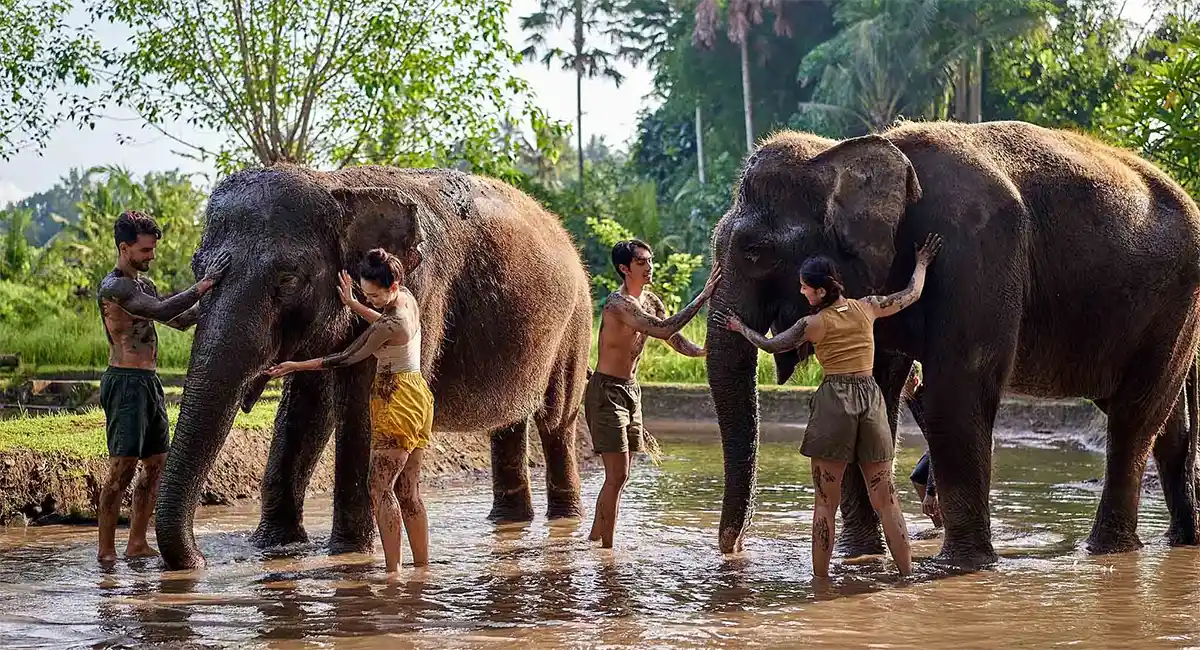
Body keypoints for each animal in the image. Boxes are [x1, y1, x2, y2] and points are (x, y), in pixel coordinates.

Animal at [154, 164, 593, 570]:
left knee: (556, 421)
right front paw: (276, 546)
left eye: (287, 278)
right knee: (510, 423)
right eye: (197, 268)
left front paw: (347, 551)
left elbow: (364, 398)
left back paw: (564, 521)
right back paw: (509, 521)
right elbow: (307, 408)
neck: (338, 185)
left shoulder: (422, 291)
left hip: (577, 323)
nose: (201, 560)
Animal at [705, 119, 1200, 567]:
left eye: (753, 252)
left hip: (1174, 304)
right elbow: (879, 390)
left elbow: (956, 390)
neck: (843, 150)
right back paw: (1179, 540)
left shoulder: (975, 250)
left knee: (1134, 417)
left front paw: (960, 567)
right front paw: (860, 558)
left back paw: (1106, 551)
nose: (735, 549)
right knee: (1164, 422)